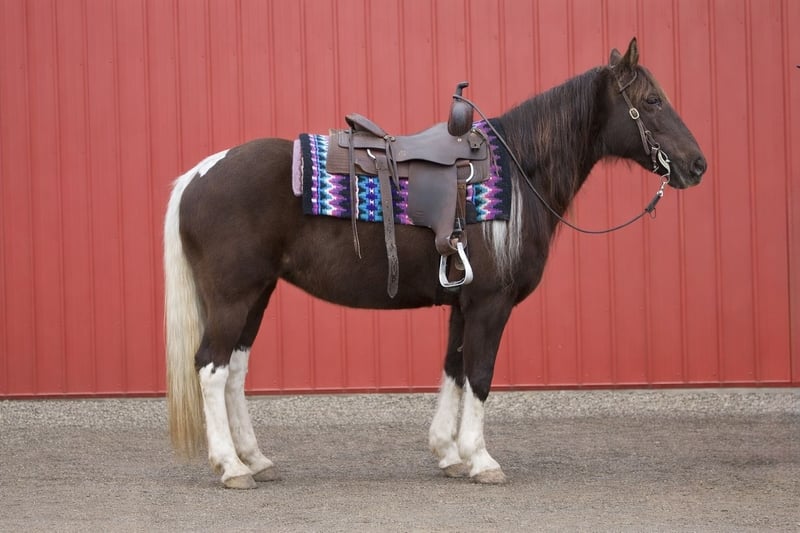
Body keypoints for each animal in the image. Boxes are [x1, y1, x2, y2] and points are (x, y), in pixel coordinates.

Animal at [164, 38, 706, 489]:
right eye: (652, 101)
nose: (697, 164)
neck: (517, 175)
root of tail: (198, 174)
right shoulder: (490, 303)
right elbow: (481, 374)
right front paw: (481, 460)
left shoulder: (463, 303)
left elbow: (455, 369)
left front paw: (448, 453)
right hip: (233, 296)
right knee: (210, 367)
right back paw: (231, 467)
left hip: (257, 294)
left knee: (234, 370)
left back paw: (254, 459)